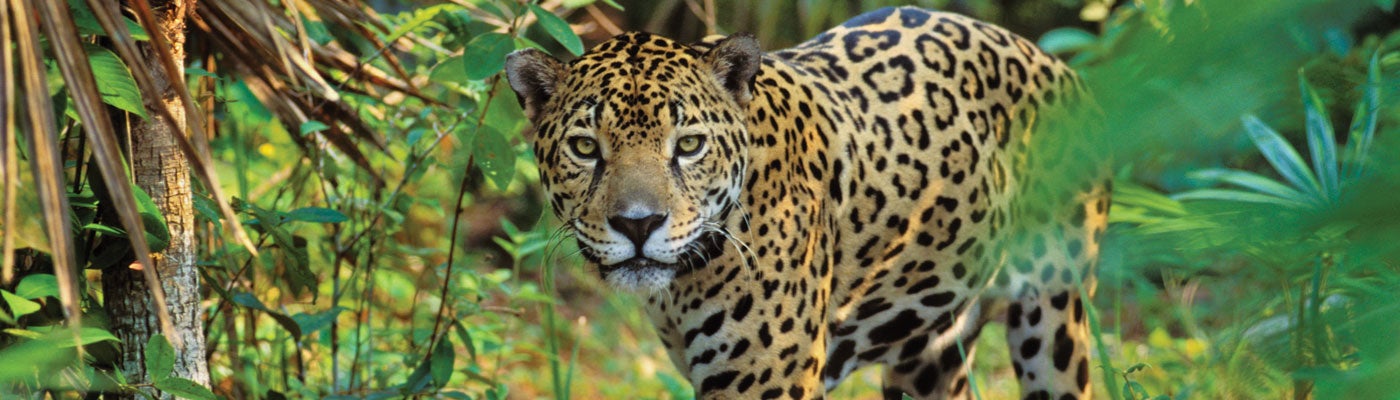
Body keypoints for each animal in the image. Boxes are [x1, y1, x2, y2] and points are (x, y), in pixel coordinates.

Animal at [505, 6, 1109, 399]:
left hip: (1056, 318)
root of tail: (1052, 60)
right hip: (931, 354)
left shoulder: (762, 384)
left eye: (690, 145)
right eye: (586, 148)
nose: (638, 224)